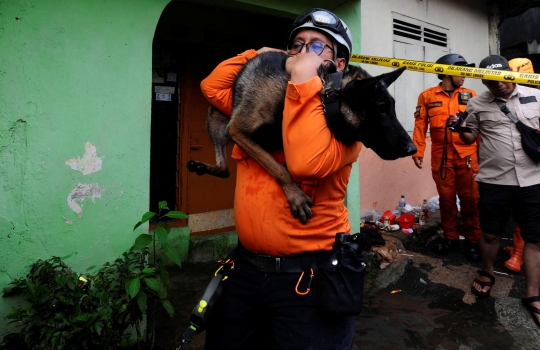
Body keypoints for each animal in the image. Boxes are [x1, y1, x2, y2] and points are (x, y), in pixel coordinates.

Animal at [188, 51, 416, 223]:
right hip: (215, 119)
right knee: (224, 166)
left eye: (392, 107)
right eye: (381, 108)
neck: (324, 93)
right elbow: (277, 168)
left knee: (225, 170)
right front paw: (295, 194)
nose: (412, 149)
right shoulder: (237, 130)